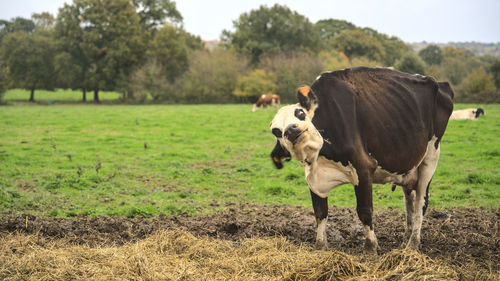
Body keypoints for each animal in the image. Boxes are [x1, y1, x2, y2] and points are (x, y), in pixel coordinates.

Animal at [270, 66, 454, 253]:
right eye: (276, 131)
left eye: (300, 113)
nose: (291, 130)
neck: (320, 155)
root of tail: (439, 83)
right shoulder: (314, 178)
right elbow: (320, 212)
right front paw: (320, 245)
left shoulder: (363, 167)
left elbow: (364, 211)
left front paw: (370, 247)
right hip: (408, 165)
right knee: (409, 202)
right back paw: (404, 242)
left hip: (430, 157)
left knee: (420, 203)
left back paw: (412, 244)